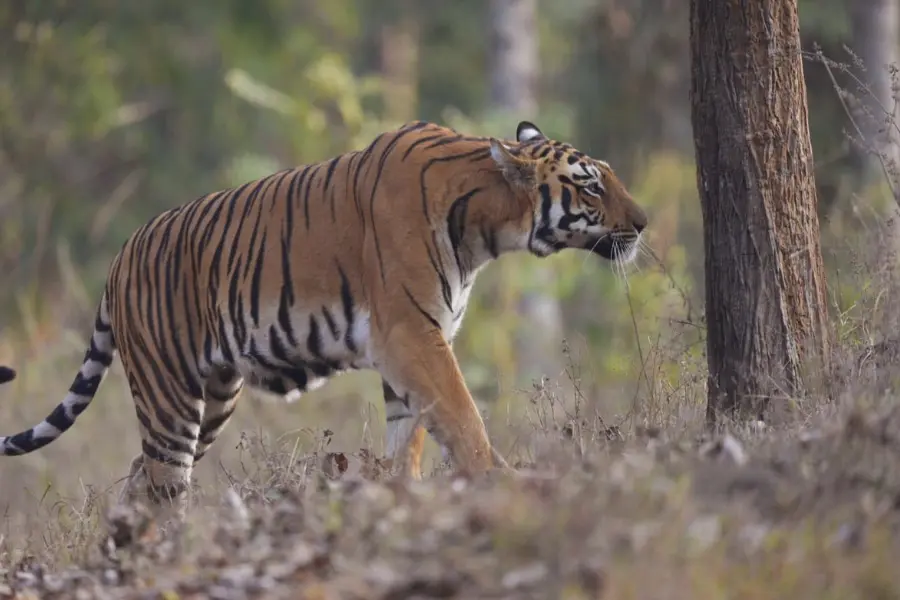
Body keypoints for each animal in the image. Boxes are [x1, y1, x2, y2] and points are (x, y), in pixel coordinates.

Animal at [0, 119, 647, 518]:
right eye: (591, 187)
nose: (643, 223)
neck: (486, 225)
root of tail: (118, 257)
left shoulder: (415, 343)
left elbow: (411, 437)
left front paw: (401, 501)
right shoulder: (411, 335)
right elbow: (463, 417)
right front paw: (500, 482)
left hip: (214, 398)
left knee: (138, 480)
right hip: (170, 395)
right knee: (161, 486)